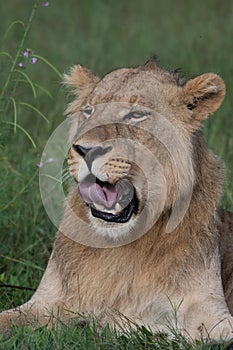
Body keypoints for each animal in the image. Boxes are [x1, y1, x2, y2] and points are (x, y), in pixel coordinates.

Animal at [0, 58, 233, 344]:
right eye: (88, 111)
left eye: (135, 115)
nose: (86, 150)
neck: (122, 243)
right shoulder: (44, 301)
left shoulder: (208, 309)